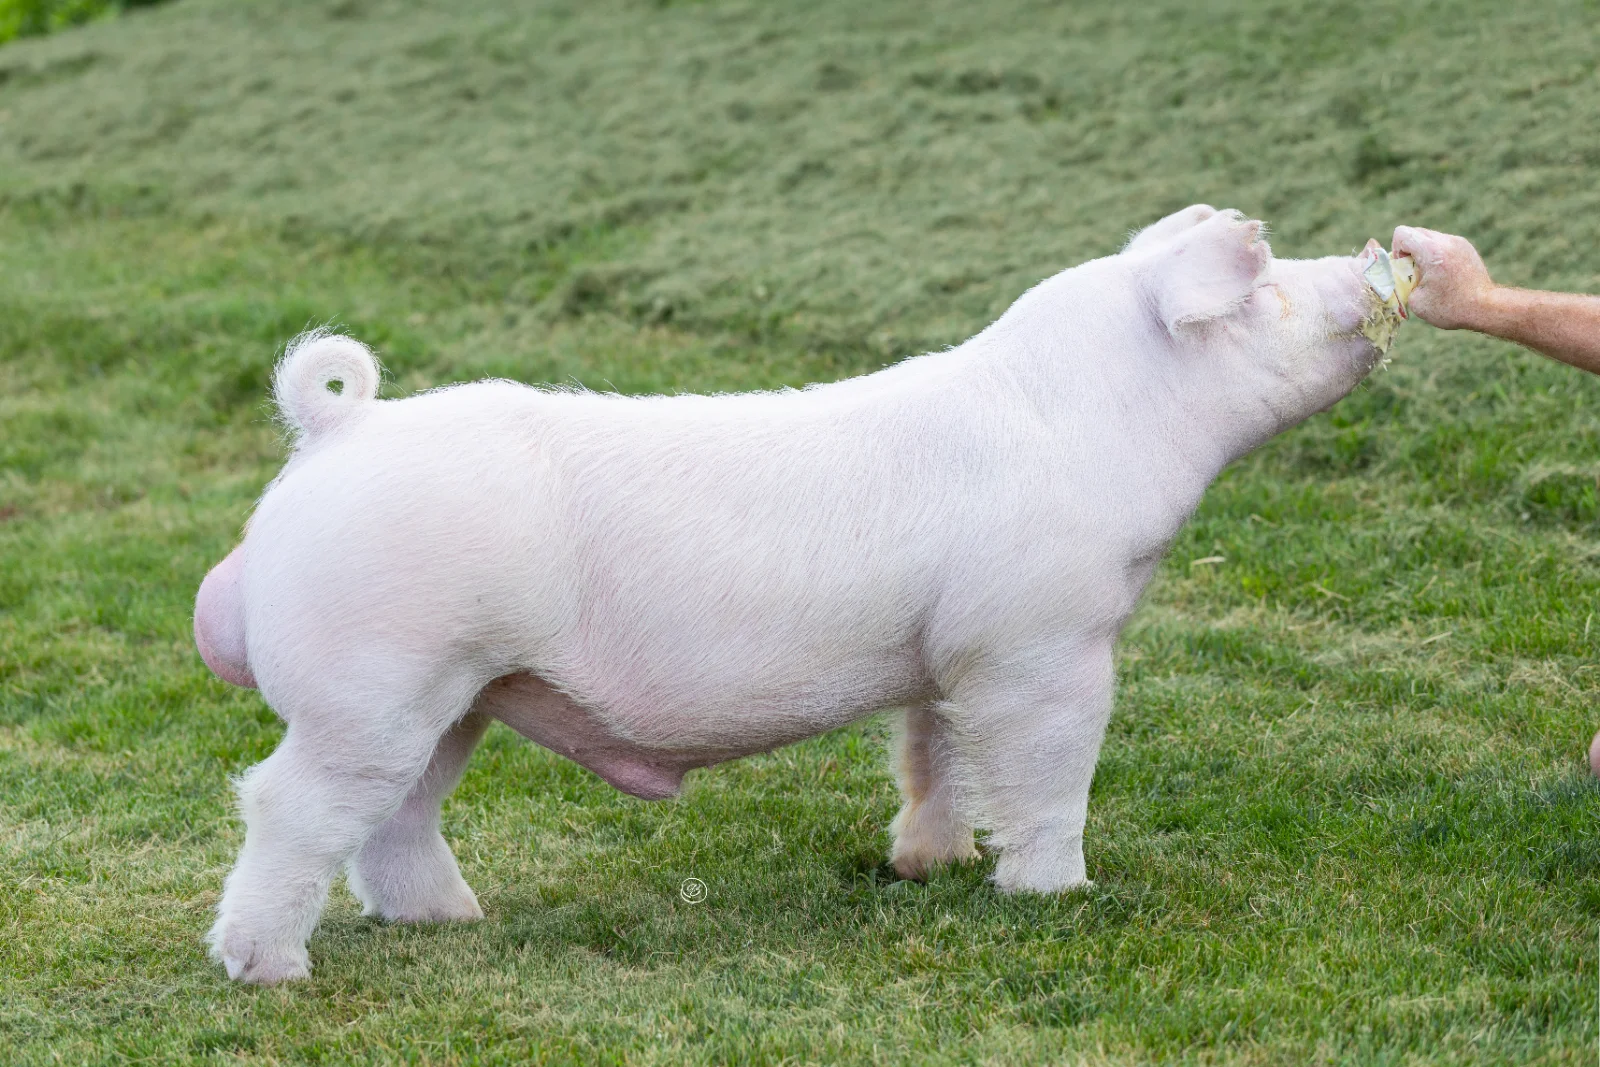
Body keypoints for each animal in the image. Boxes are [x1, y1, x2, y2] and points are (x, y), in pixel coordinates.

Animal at [195, 206, 1403, 983]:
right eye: (1269, 288)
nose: (1376, 257)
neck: (1095, 419)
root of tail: (337, 429)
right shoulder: (1043, 641)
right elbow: (1048, 771)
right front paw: (1056, 894)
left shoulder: (947, 652)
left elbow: (934, 751)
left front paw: (930, 865)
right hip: (375, 675)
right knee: (289, 802)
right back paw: (270, 970)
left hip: (456, 691)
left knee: (397, 815)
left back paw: (453, 919)